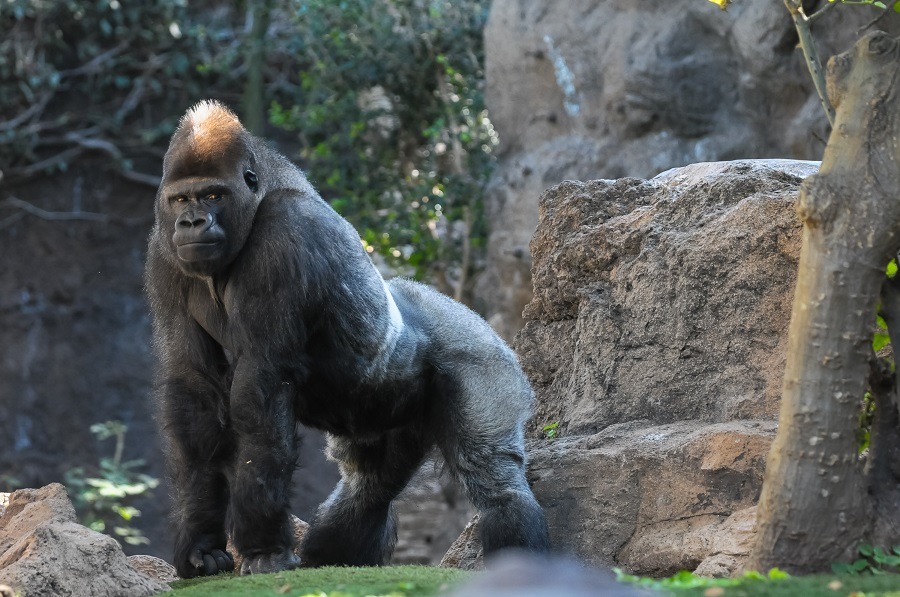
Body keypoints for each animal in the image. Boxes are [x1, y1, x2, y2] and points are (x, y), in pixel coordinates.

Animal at [146, 100, 548, 576]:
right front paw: (201, 542)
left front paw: (262, 547)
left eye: (213, 195)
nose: (191, 221)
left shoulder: (286, 232)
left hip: (485, 358)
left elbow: (260, 389)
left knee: (495, 480)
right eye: (181, 199)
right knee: (369, 488)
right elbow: (194, 392)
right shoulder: (163, 251)